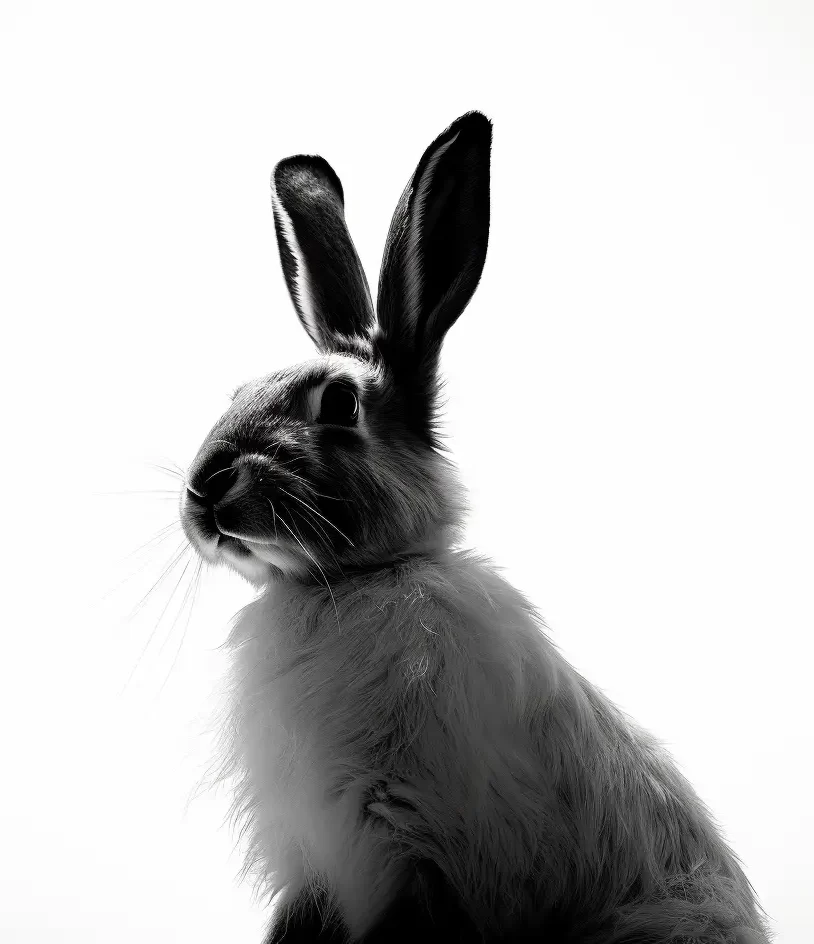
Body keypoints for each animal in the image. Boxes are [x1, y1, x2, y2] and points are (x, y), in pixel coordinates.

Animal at [179, 112, 770, 943]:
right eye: (235, 393)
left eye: (339, 405)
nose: (203, 491)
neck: (344, 585)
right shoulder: (323, 868)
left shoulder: (422, 857)